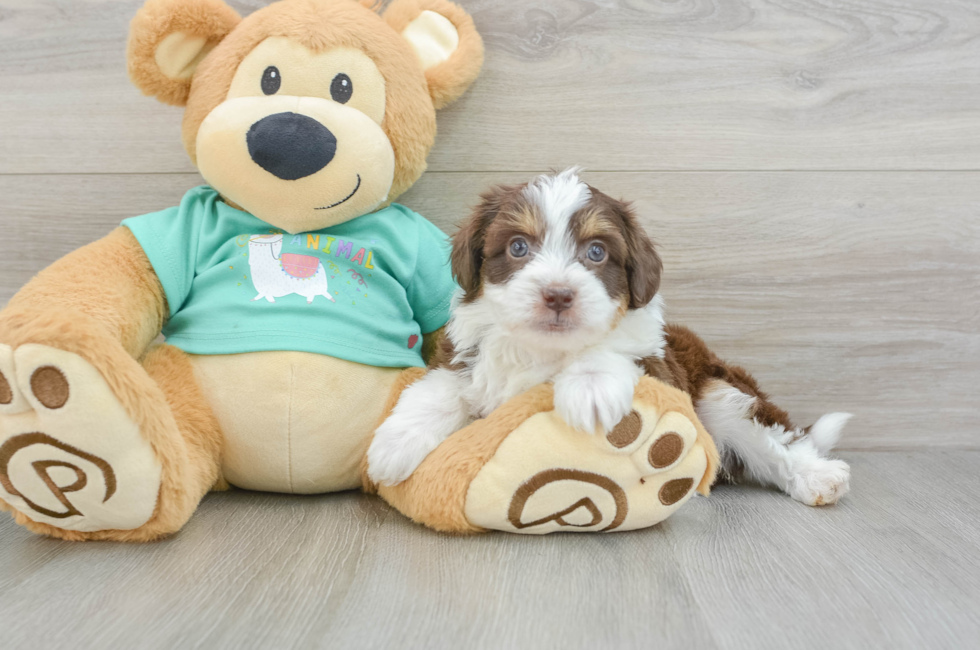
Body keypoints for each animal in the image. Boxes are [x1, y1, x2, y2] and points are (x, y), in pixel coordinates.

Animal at [368, 168, 848, 506]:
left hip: (715, 391)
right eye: (518, 247)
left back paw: (818, 476)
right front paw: (393, 447)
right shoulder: (461, 356)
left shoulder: (658, 366)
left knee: (772, 437)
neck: (544, 350)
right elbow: (439, 388)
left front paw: (590, 389)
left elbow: (610, 349)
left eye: (596, 252)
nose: (558, 295)